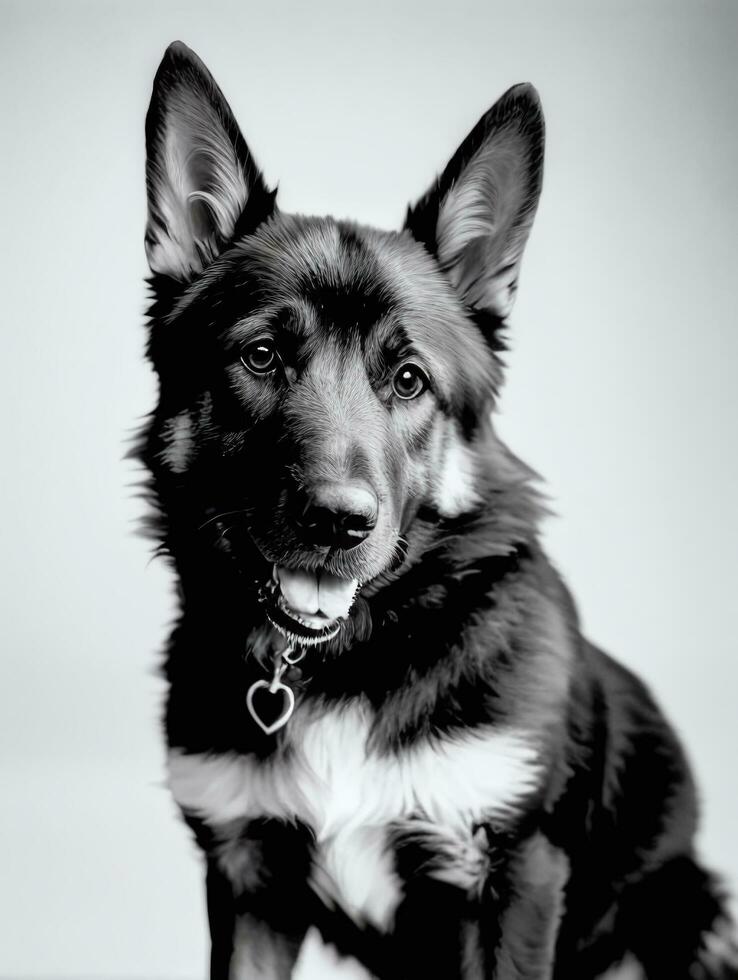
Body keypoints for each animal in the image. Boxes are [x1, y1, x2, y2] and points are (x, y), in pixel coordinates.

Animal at [138, 40, 736, 980]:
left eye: (409, 378)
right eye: (262, 356)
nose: (337, 523)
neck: (348, 662)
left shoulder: (514, 879)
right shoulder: (247, 883)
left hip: (690, 915)